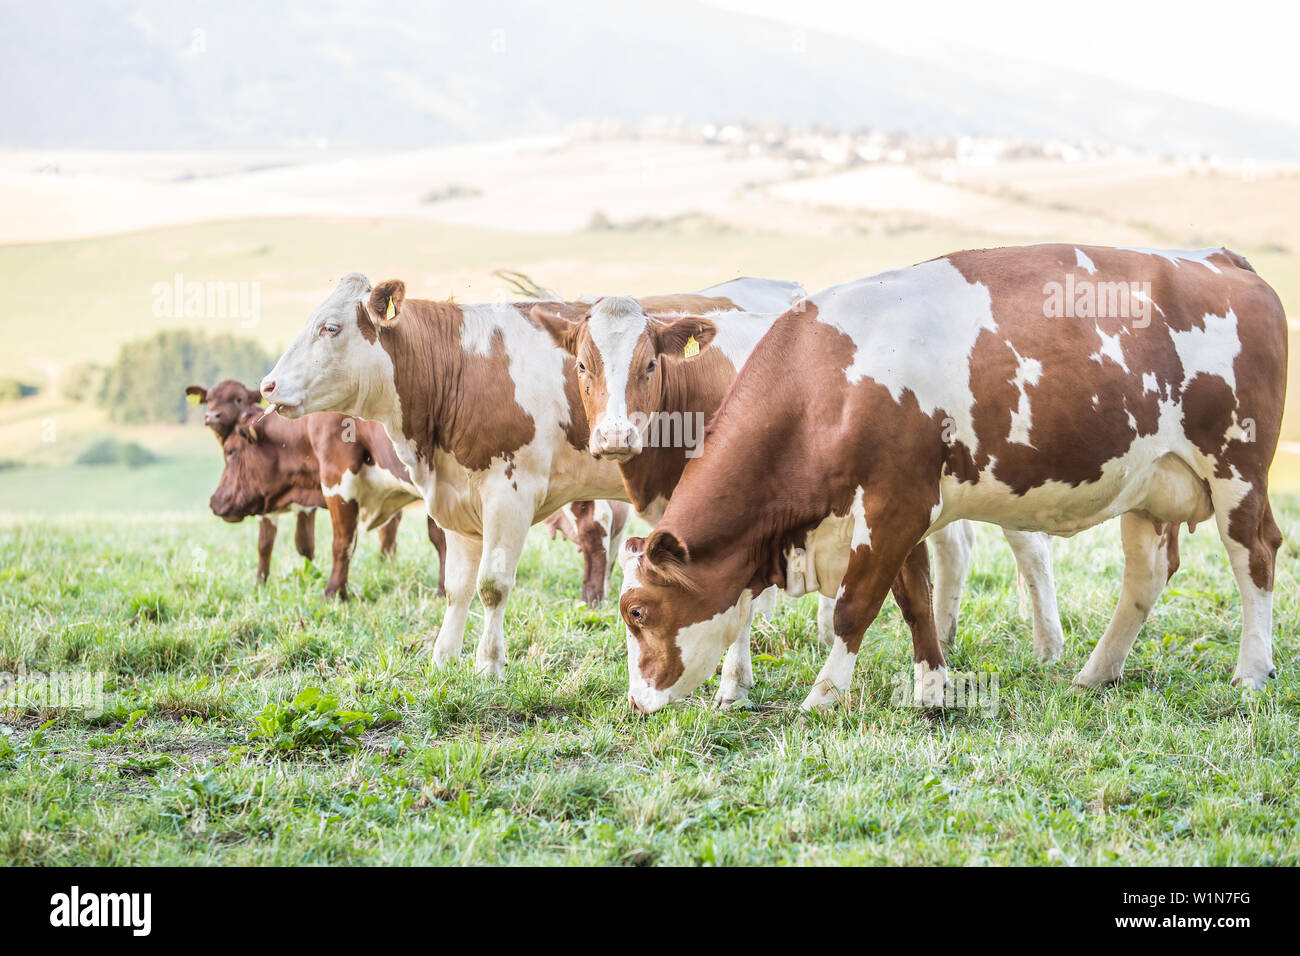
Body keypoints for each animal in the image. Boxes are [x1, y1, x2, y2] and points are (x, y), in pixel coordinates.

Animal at [187, 379, 318, 581]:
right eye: (208, 399)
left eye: (239, 399)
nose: (212, 416)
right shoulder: (263, 502)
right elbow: (264, 545)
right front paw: (260, 582)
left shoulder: (306, 503)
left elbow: (305, 545)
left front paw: (312, 575)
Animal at [209, 404, 447, 599]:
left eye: (230, 451)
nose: (214, 500)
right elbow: (440, 539)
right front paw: (443, 590)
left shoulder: (337, 478)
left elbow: (343, 543)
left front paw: (333, 592)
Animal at [260, 274, 800, 677]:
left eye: (330, 328)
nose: (267, 385)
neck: (460, 366)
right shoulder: (456, 497)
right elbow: (457, 586)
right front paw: (443, 657)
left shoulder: (509, 492)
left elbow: (492, 585)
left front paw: (488, 665)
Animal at [530, 294, 1064, 706]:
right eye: (583, 365)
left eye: (649, 363)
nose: (615, 436)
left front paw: (732, 685)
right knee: (955, 547)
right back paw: (947, 631)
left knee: (1031, 550)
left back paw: (1050, 646)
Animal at [615, 245, 1285, 713]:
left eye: (638, 612)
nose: (636, 702)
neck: (821, 386)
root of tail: (1219, 259)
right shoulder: (900, 510)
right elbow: (916, 600)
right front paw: (933, 690)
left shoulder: (895, 504)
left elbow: (855, 608)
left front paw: (824, 695)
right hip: (1150, 480)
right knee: (1146, 574)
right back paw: (1096, 672)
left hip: (1237, 466)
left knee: (1254, 553)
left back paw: (1251, 672)